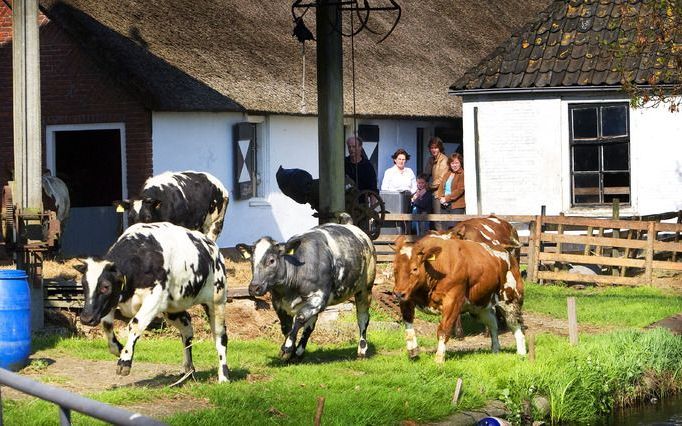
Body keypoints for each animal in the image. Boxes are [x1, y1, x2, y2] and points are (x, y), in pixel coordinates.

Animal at [74, 223, 228, 382]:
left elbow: (135, 324)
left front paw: (124, 361)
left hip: (217, 300)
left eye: (106, 286)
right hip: (173, 309)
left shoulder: (154, 299)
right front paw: (118, 349)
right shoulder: (112, 301)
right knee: (187, 330)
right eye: (83, 285)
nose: (86, 318)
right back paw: (188, 370)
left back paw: (223, 376)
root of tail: (212, 246)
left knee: (220, 336)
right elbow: (107, 325)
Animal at [236, 216, 374, 360]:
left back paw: (362, 350)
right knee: (310, 325)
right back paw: (299, 351)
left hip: (365, 290)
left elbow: (300, 318)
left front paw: (287, 347)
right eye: (251, 260)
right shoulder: (278, 303)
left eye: (272, 260)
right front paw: (290, 352)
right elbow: (286, 326)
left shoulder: (318, 298)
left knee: (363, 318)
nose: (254, 288)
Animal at [390, 233, 524, 362]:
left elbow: (444, 329)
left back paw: (521, 353)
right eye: (395, 268)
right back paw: (495, 349)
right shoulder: (407, 297)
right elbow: (408, 324)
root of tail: (508, 255)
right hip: (479, 306)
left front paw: (439, 358)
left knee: (515, 325)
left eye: (415, 268)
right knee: (492, 324)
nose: (397, 294)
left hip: (511, 299)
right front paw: (412, 351)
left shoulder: (453, 301)